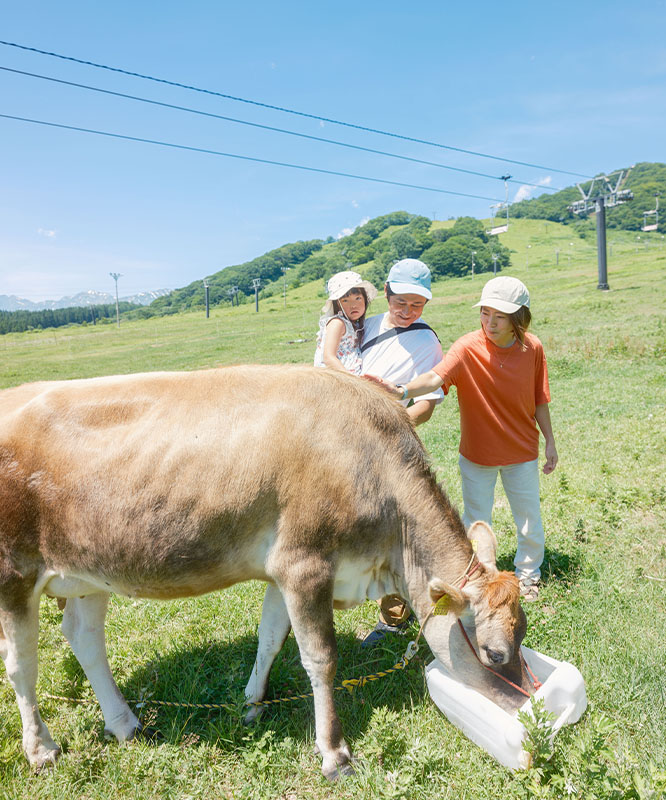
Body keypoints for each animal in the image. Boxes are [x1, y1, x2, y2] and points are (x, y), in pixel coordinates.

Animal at [0, 366, 528, 780]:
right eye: (495, 654)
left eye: (523, 632)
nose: (529, 711)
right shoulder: (306, 565)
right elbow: (320, 658)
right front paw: (334, 753)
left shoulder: (283, 572)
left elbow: (271, 637)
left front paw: (251, 704)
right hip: (14, 574)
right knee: (22, 664)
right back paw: (42, 749)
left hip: (90, 571)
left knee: (84, 638)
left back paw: (125, 724)